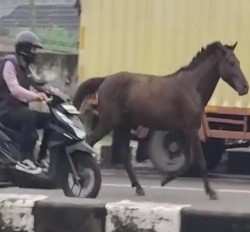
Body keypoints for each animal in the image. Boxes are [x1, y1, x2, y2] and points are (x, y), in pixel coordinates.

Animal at [72, 41, 248, 199]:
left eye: (239, 62)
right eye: (231, 62)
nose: (245, 87)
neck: (192, 88)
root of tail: (105, 79)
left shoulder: (183, 131)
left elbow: (188, 160)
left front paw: (165, 180)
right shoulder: (191, 129)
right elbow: (199, 160)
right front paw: (211, 192)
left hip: (124, 125)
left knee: (124, 156)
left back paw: (139, 187)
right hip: (108, 122)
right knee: (90, 141)